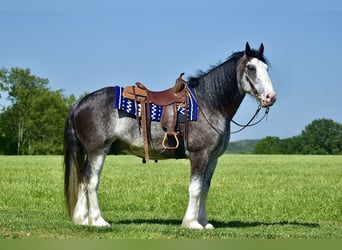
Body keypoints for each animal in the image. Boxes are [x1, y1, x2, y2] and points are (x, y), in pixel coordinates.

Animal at [64, 42, 276, 229]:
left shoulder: (212, 158)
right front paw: (192, 224)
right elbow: (195, 189)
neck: (209, 103)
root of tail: (80, 102)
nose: (270, 97)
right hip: (98, 151)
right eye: (251, 68)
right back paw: (98, 221)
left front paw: (204, 222)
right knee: (91, 182)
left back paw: (82, 219)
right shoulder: (199, 155)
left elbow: (204, 189)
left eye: (266, 68)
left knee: (82, 181)